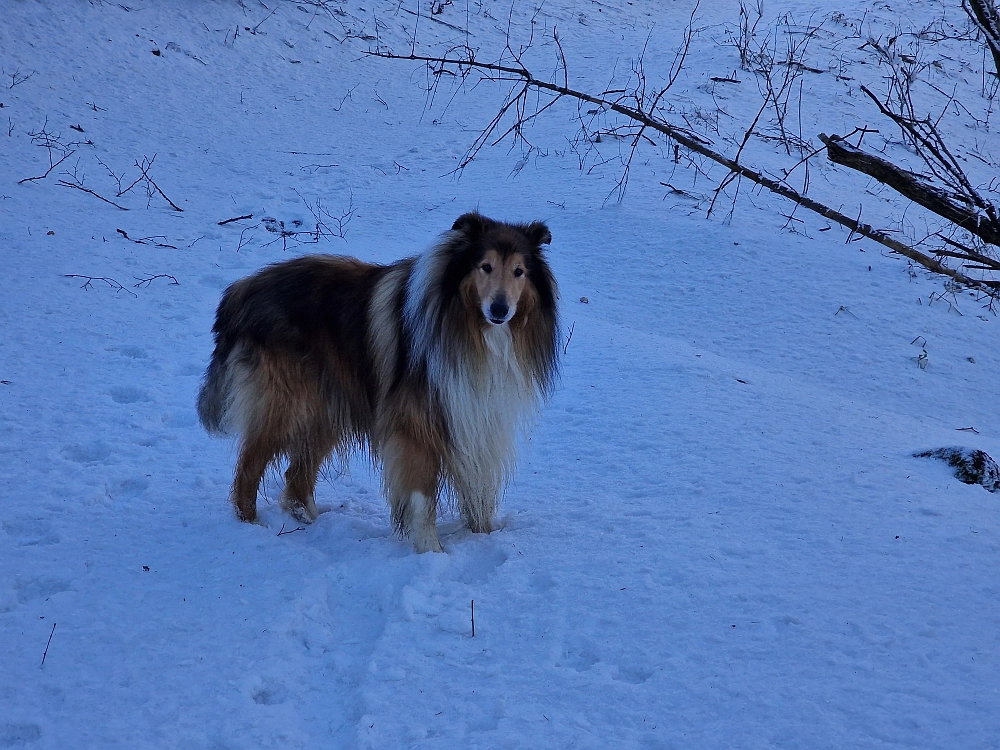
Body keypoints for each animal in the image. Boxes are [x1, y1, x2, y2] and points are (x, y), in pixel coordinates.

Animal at [195, 212, 556, 552]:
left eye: (519, 271)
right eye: (485, 266)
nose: (500, 309)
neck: (471, 330)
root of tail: (241, 290)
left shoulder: (475, 417)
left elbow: (478, 490)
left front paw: (483, 537)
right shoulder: (416, 425)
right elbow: (422, 497)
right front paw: (432, 550)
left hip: (327, 407)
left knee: (296, 476)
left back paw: (310, 522)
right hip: (285, 405)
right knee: (248, 466)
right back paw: (250, 525)